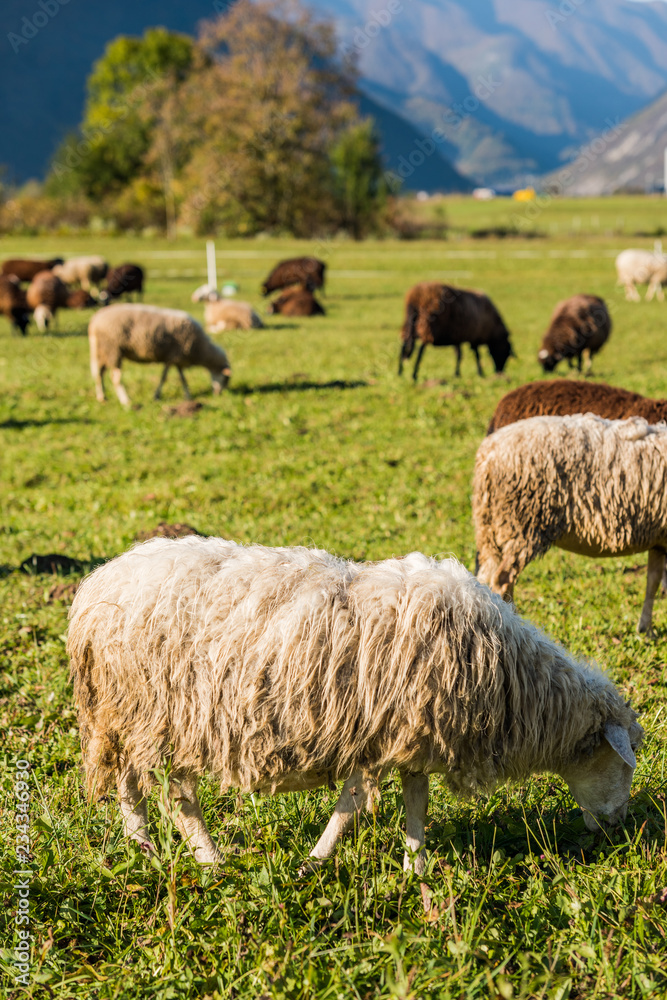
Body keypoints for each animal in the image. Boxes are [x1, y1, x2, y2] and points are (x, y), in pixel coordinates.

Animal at [68, 537, 642, 879]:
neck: (515, 681)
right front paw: (317, 860)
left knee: (130, 783)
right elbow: (351, 805)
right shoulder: (387, 733)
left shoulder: (410, 735)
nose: (618, 826)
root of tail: (100, 583)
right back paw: (204, 858)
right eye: (621, 762)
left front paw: (415, 867)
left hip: (133, 714)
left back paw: (143, 846)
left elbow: (415, 800)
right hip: (163, 711)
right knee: (174, 794)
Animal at [88, 303, 231, 406]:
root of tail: (94, 321)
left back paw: (102, 397)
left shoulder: (176, 359)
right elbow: (164, 377)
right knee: (115, 378)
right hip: (113, 349)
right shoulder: (173, 356)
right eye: (225, 378)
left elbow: (182, 378)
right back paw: (125, 401)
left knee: (99, 375)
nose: (218, 394)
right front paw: (156, 396)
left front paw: (188, 396)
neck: (202, 349)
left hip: (101, 352)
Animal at [474, 413, 667, 635]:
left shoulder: (659, 540)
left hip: (491, 529)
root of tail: (489, 453)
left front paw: (646, 629)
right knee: (503, 580)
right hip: (523, 523)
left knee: (484, 580)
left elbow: (652, 581)